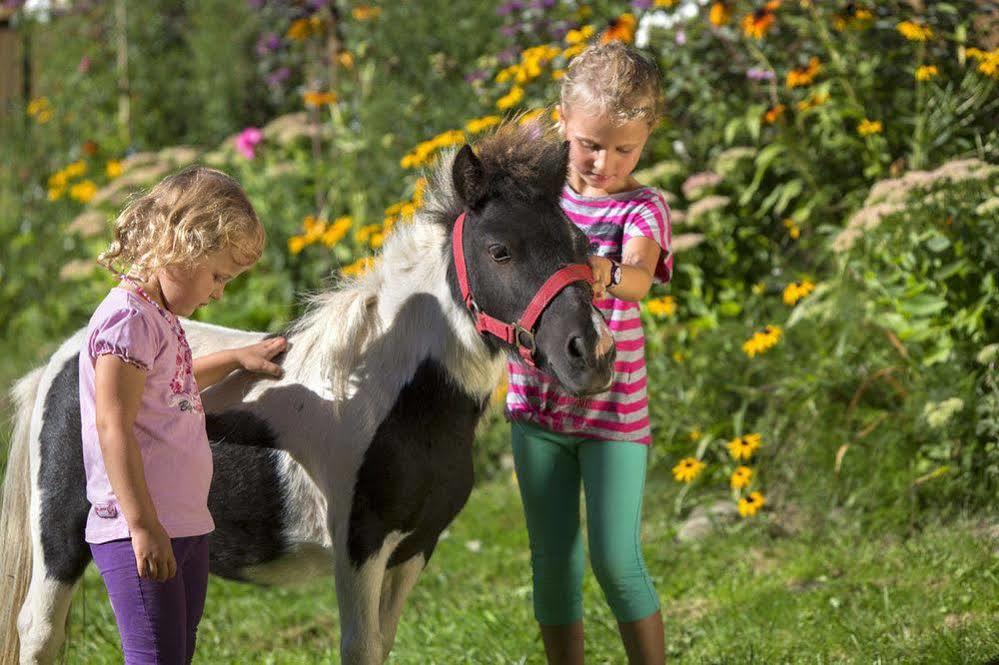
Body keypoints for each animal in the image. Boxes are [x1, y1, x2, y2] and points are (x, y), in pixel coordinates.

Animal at [0, 120, 612, 664]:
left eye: (580, 243)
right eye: (499, 250)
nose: (592, 353)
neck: (390, 398)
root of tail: (60, 363)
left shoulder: (415, 548)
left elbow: (383, 644)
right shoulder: (358, 551)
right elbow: (360, 649)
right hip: (61, 542)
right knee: (38, 632)